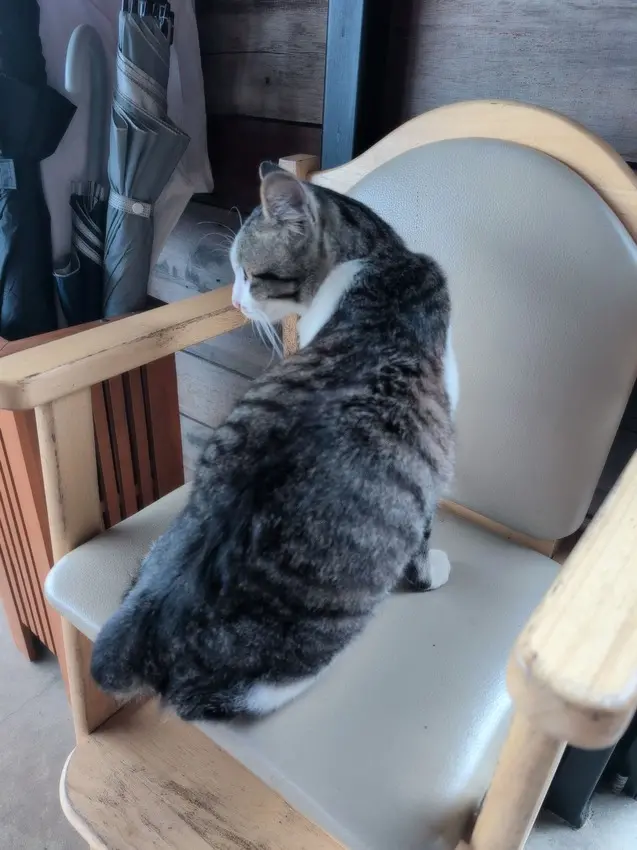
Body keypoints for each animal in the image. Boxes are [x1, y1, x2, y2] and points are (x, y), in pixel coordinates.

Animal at [90, 163, 458, 721]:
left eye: (250, 274)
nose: (234, 301)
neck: (379, 265)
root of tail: (147, 632)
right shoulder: (430, 467)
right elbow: (422, 546)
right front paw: (433, 571)